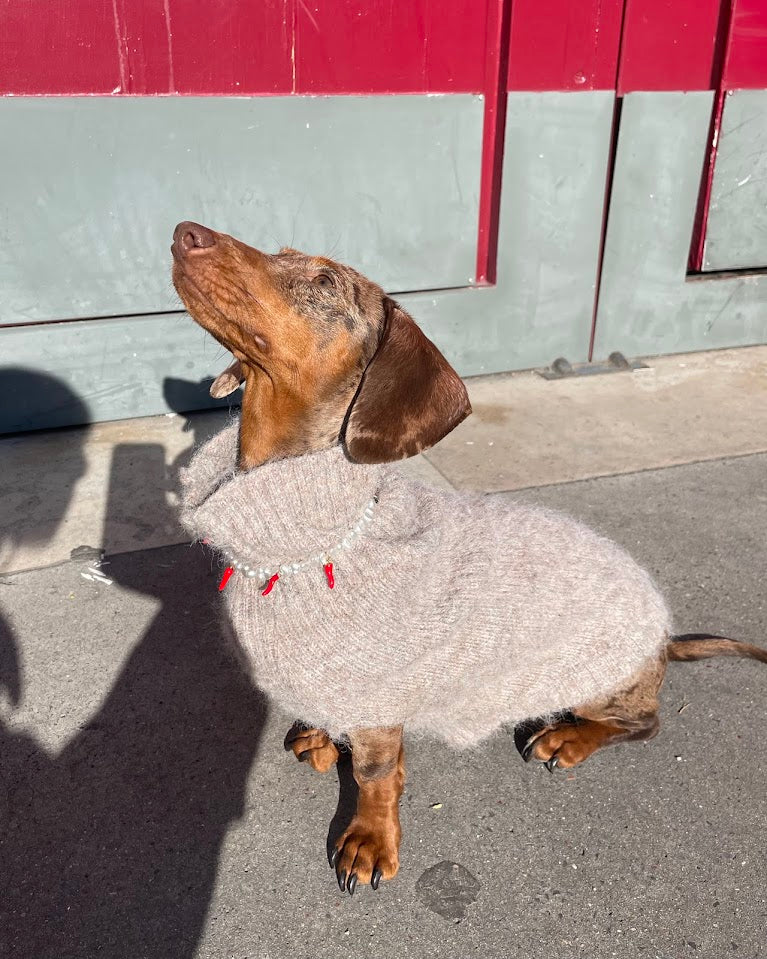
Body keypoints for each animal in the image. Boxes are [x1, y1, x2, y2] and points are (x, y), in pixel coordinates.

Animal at [172, 221, 767, 896]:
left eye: (325, 280)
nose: (185, 232)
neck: (310, 540)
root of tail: (663, 638)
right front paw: (320, 733)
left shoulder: (381, 700)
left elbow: (376, 774)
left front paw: (370, 838)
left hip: (600, 683)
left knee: (644, 723)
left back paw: (566, 739)